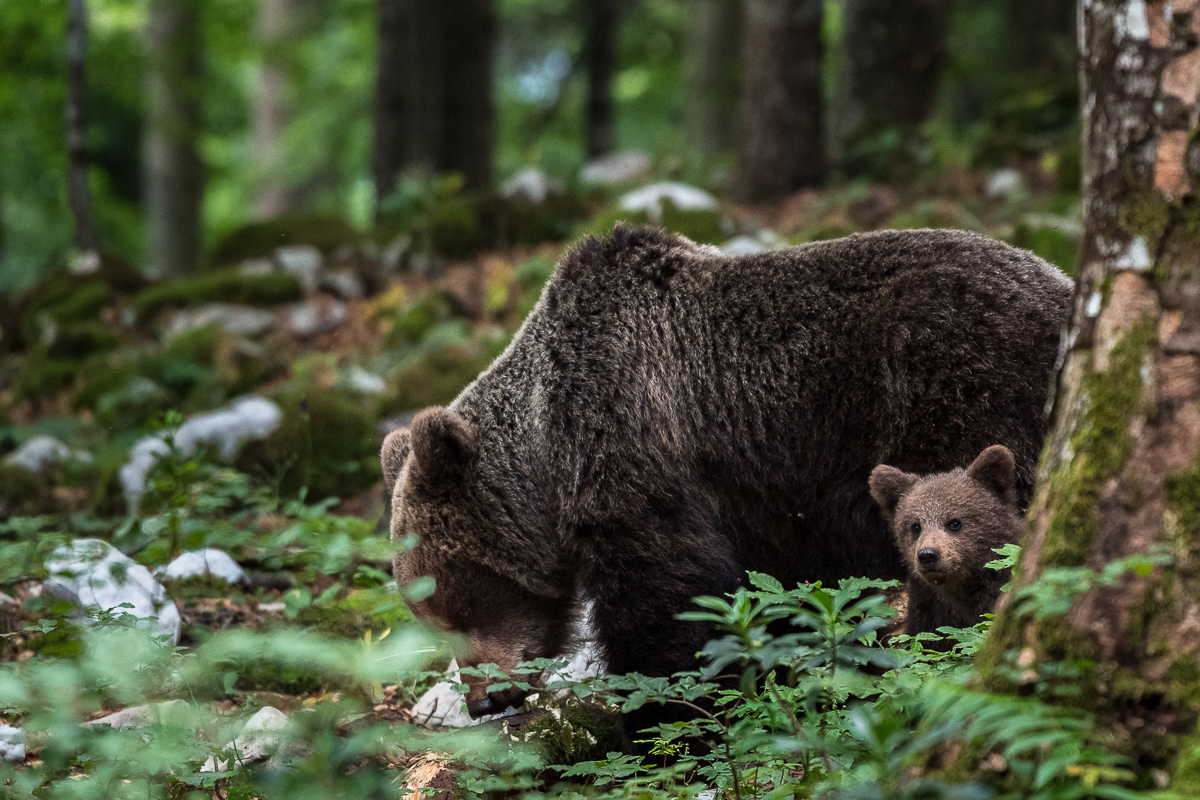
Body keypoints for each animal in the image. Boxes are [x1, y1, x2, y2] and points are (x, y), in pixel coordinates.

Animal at [381, 224, 1070, 719]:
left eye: (454, 606)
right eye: (433, 621)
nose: (484, 700)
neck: (549, 451)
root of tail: (1065, 289)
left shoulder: (637, 446)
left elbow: (669, 600)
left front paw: (666, 710)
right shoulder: (774, 505)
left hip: (961, 391)